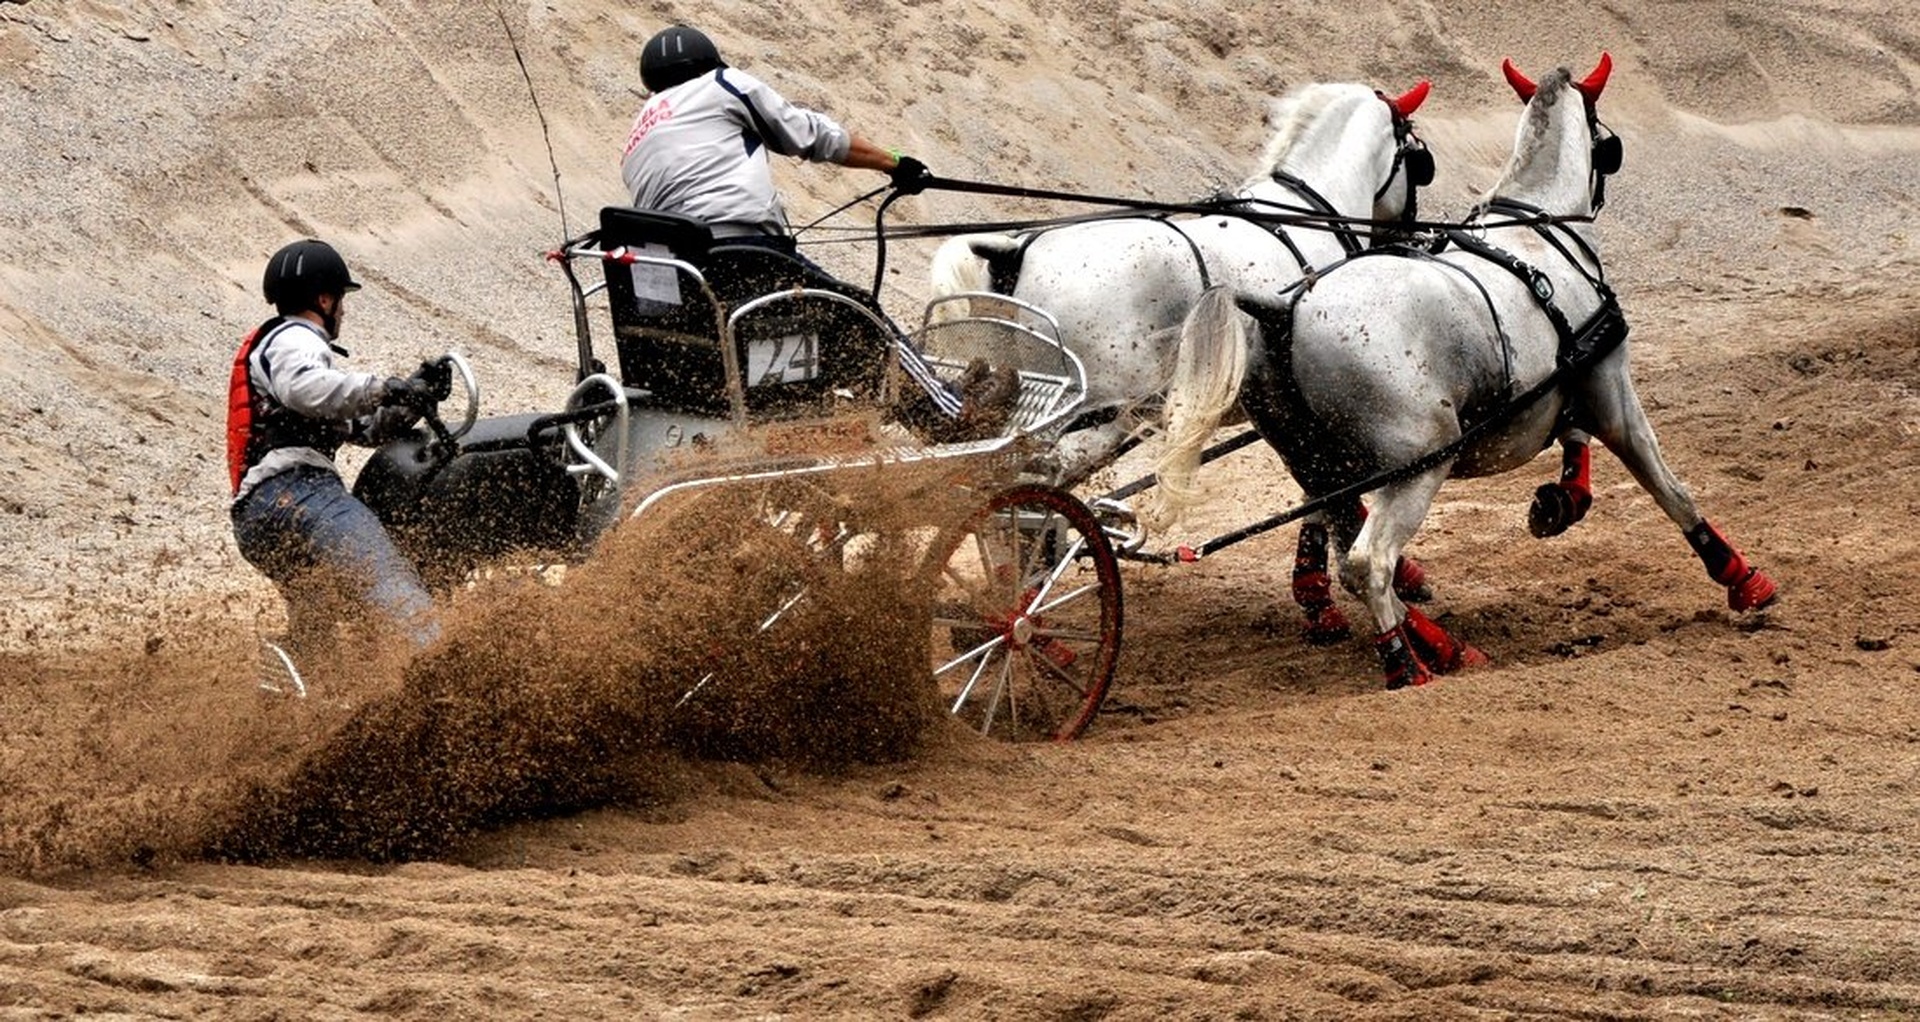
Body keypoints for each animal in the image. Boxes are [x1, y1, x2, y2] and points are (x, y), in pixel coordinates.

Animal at [929, 79, 1439, 634]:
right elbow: (1326, 494)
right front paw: (1351, 590)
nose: (1408, 235)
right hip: (1098, 417)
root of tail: (1014, 251)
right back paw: (1022, 606)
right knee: (1030, 492)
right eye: (1419, 159)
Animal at [1153, 53, 1778, 689]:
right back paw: (1406, 665)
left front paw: (1562, 500)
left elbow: (1575, 438)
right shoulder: (1608, 383)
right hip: (1419, 464)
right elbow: (1668, 485)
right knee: (1368, 562)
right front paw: (1741, 578)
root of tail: (1287, 309)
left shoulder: (1565, 379)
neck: (1536, 227)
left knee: (1349, 545)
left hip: (1321, 467)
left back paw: (1441, 646)